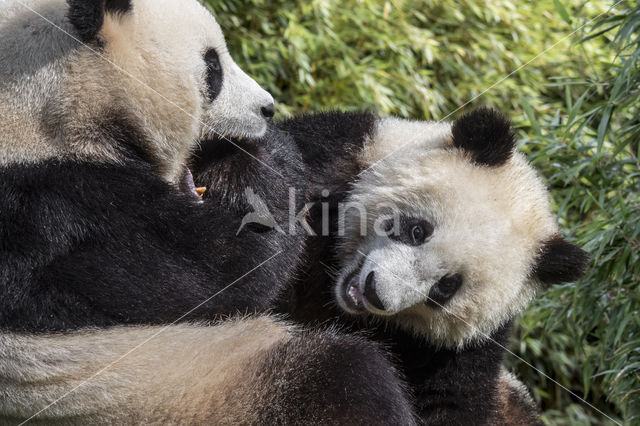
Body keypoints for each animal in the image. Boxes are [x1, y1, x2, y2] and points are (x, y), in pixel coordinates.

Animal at [0, 1, 418, 424]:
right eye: (212, 66)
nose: (267, 108)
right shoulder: (70, 215)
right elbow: (228, 271)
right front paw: (266, 162)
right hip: (188, 386)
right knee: (341, 377)